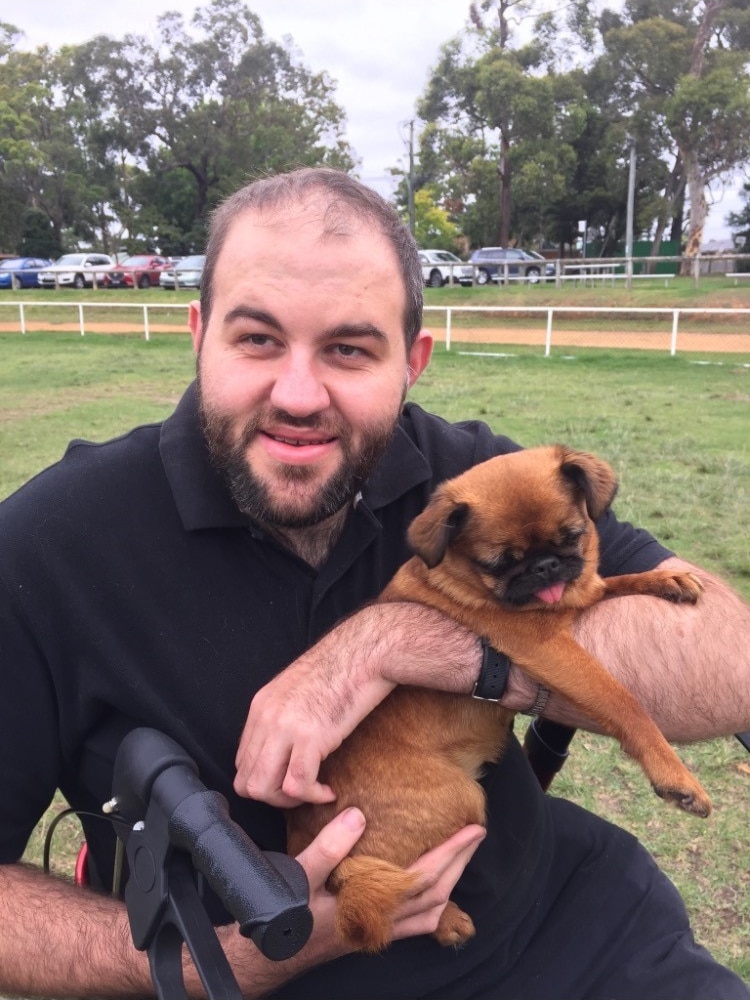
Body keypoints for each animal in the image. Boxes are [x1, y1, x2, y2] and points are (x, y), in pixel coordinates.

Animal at [284, 448, 712, 952]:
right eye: (499, 563)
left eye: (574, 535)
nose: (546, 566)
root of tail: (310, 850)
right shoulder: (549, 648)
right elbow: (623, 701)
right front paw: (676, 776)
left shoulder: (582, 593)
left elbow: (612, 581)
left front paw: (667, 579)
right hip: (460, 800)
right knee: (408, 890)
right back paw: (446, 919)